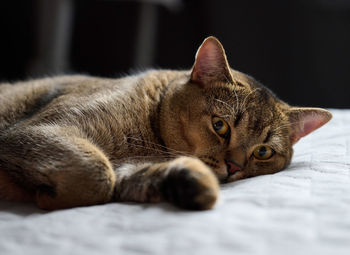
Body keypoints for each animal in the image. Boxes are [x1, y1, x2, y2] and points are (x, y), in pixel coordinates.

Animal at [0, 36, 330, 210]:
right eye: (220, 126)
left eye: (263, 152)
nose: (234, 167)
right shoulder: (36, 131)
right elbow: (96, 175)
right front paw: (47, 197)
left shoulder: (129, 168)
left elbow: (125, 179)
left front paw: (192, 185)